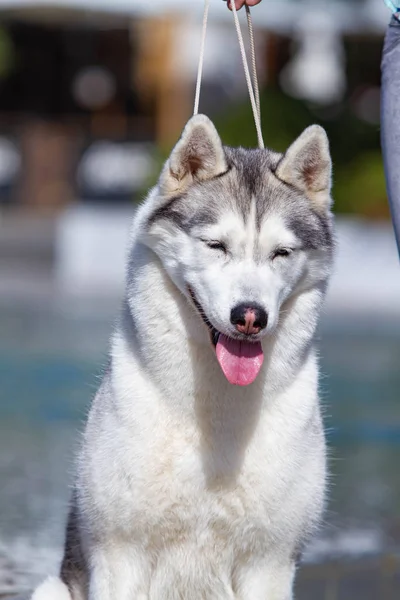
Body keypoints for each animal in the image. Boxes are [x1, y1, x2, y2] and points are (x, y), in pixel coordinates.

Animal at [32, 113, 334, 600]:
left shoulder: (269, 564)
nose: (250, 316)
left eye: (281, 253)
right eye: (215, 245)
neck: (216, 412)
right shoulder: (119, 555)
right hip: (53, 588)